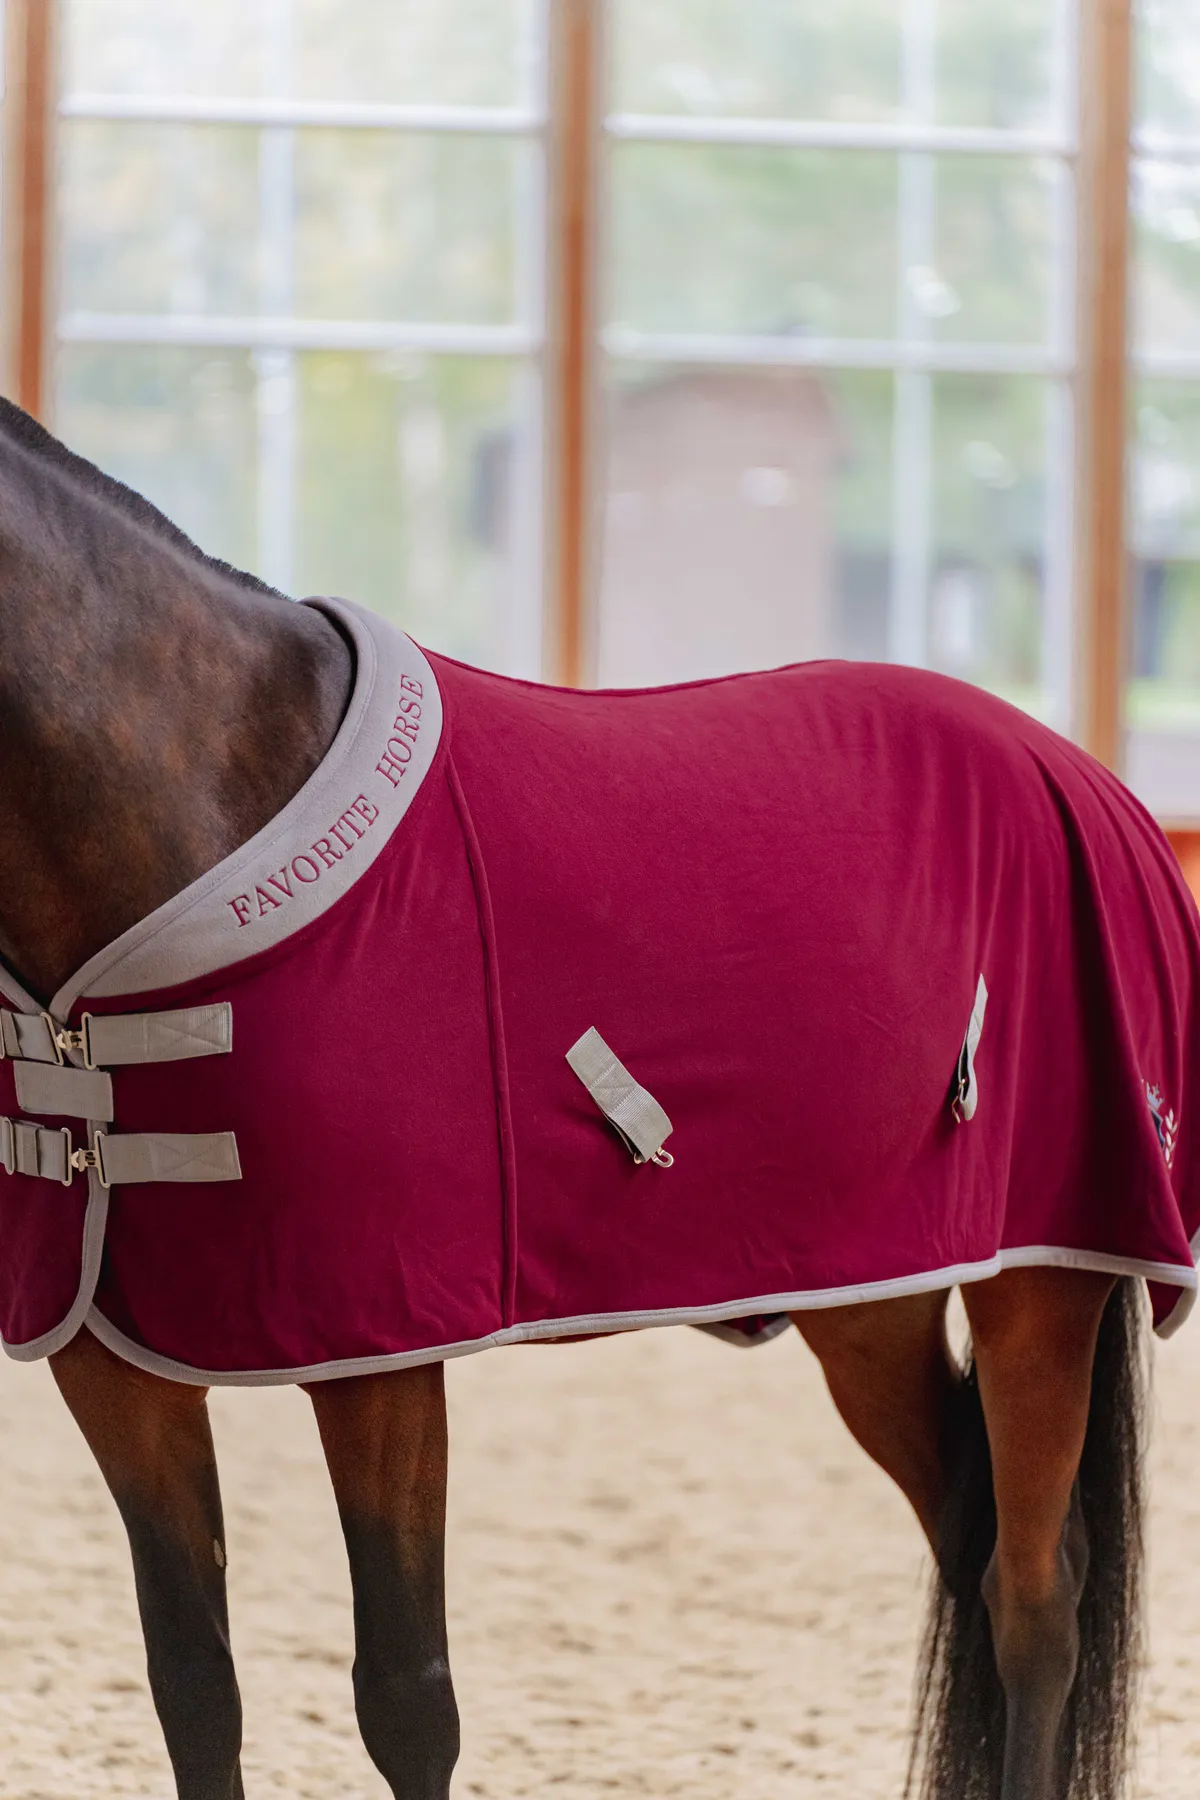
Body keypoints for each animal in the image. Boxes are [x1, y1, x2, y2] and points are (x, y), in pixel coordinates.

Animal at [0, 393, 1191, 1800]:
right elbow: (194, 1685)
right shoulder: (111, 1362)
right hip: (876, 1298)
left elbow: (406, 1699)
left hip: (1041, 1287)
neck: (203, 793)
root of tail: (1087, 778)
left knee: (1034, 1601)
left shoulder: (381, 1355)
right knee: (966, 1526)